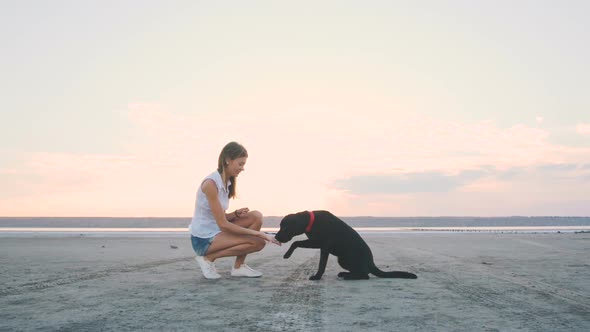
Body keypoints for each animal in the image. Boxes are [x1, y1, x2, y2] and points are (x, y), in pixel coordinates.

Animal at [276, 210, 418, 280]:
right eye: (280, 226)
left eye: (285, 228)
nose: (276, 237)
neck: (312, 221)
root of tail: (371, 263)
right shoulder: (319, 244)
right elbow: (297, 243)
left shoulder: (322, 244)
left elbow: (297, 243)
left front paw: (316, 277)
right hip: (342, 260)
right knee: (361, 272)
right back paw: (345, 274)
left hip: (347, 259)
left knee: (365, 275)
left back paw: (349, 277)